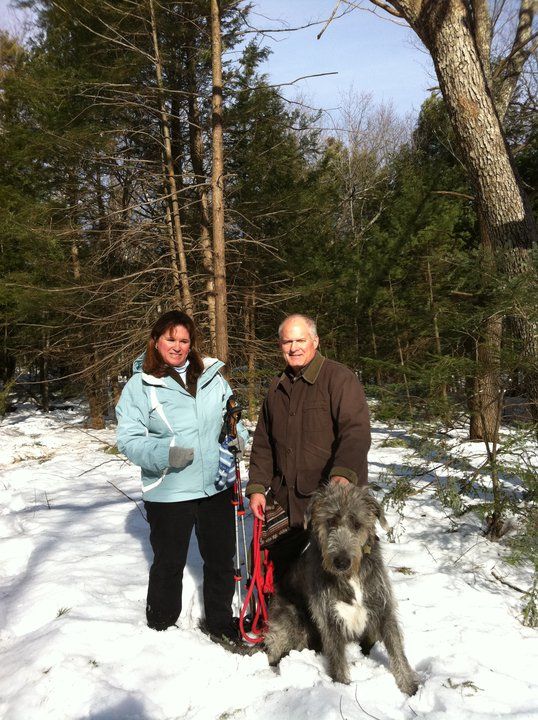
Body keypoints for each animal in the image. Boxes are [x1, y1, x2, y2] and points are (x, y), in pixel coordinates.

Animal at [264, 480, 418, 696]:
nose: (341, 562)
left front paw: (410, 688)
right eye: (330, 522)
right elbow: (337, 659)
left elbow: (396, 649)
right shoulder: (328, 617)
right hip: (291, 620)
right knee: (275, 648)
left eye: (357, 524)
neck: (351, 577)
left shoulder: (382, 607)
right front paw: (342, 689)